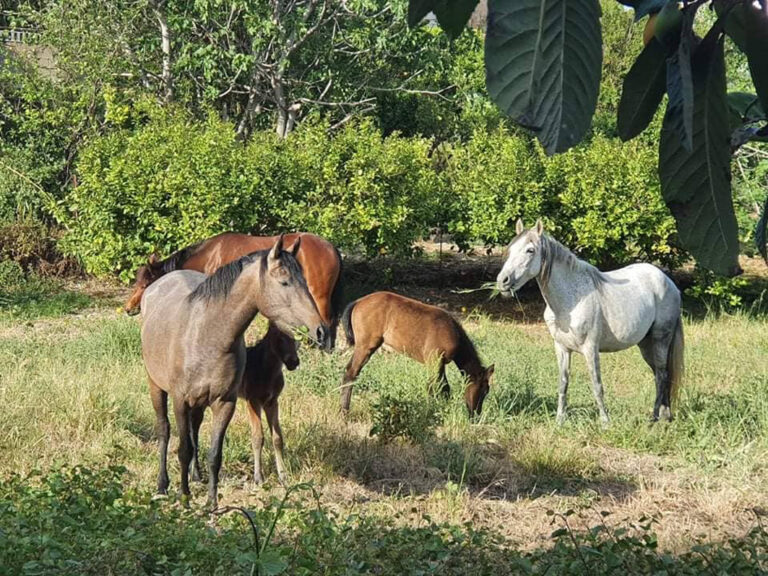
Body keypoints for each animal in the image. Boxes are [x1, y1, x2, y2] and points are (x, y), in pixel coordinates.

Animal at [126, 232, 342, 348]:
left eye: (144, 284)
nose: (128, 308)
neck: (209, 255)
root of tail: (333, 249)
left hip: (319, 297)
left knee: (326, 322)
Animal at [189, 322, 300, 484]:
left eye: (295, 338)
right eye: (279, 338)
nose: (294, 362)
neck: (268, 371)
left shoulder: (272, 402)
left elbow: (277, 438)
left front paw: (283, 475)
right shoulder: (252, 400)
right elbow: (258, 437)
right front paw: (258, 477)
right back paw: (194, 473)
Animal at [340, 292, 496, 418]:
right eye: (484, 391)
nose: (475, 415)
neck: (453, 333)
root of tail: (358, 301)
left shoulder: (439, 364)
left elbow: (442, 388)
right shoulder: (434, 361)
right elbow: (436, 388)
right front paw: (431, 412)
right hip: (365, 346)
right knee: (351, 372)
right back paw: (344, 412)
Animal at [498, 219, 684, 424]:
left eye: (530, 250)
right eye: (510, 248)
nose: (502, 281)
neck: (570, 303)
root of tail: (669, 282)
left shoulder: (590, 348)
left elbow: (597, 385)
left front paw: (605, 422)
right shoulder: (562, 348)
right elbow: (563, 384)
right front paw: (559, 421)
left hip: (660, 338)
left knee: (661, 375)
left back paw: (654, 418)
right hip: (645, 344)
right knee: (661, 374)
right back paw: (665, 416)